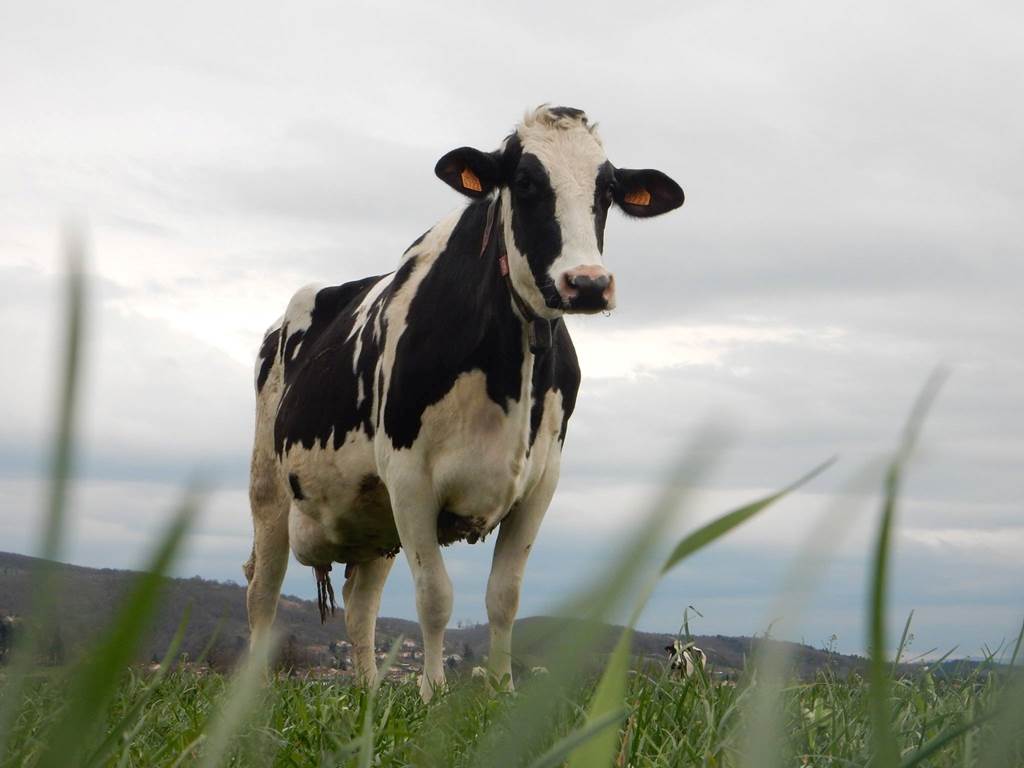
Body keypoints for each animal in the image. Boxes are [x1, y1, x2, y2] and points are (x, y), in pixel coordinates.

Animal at [244, 105, 685, 701]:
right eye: (525, 182)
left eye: (608, 189)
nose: (588, 284)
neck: (509, 367)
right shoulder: (410, 477)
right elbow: (435, 596)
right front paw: (432, 694)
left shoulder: (540, 482)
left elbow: (505, 597)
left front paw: (500, 690)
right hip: (269, 489)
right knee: (262, 591)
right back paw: (251, 697)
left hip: (371, 518)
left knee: (361, 606)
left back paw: (369, 694)